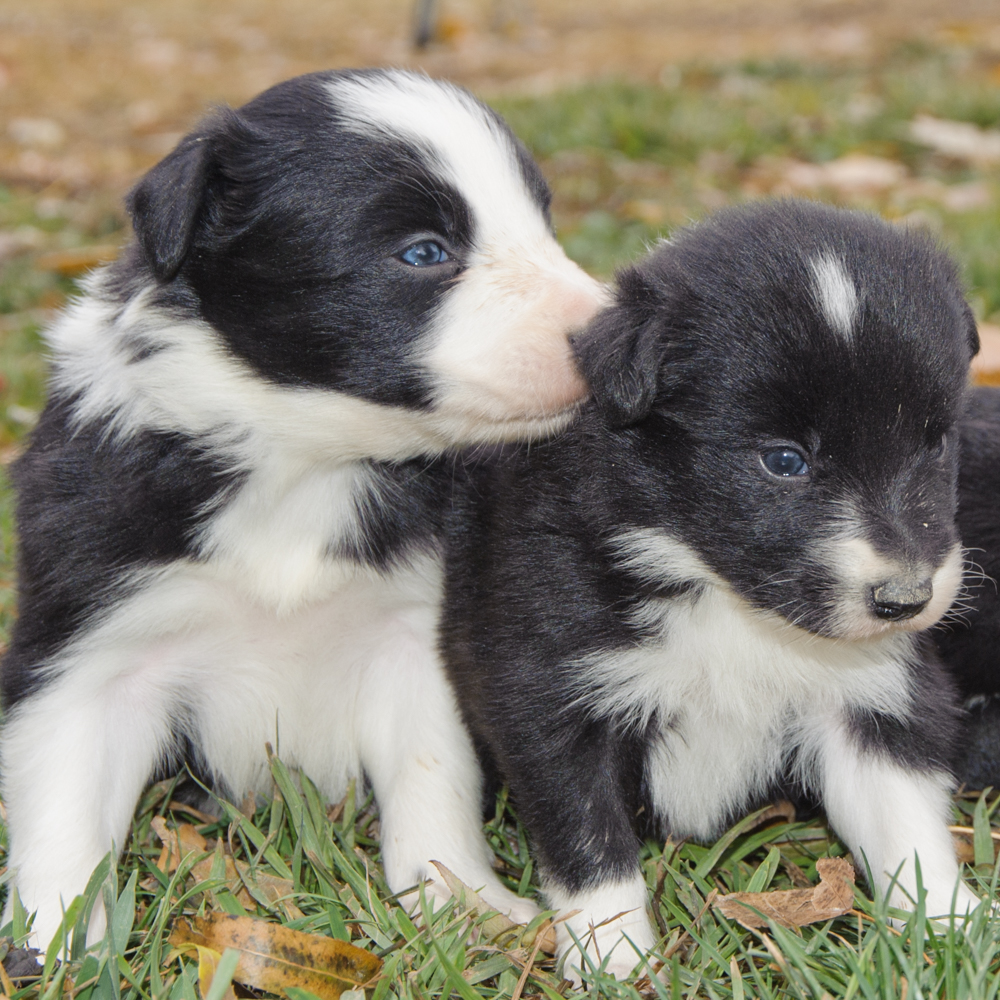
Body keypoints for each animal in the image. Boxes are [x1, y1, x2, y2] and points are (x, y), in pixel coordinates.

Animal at [1, 70, 608, 944]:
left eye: (543, 224)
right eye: (424, 252)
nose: (606, 334)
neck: (302, 460)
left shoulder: (414, 636)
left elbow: (433, 783)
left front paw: (461, 903)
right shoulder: (89, 641)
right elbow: (64, 812)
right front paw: (54, 941)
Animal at [442, 201, 980, 976]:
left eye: (933, 443)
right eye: (784, 460)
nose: (905, 600)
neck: (724, 599)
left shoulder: (870, 695)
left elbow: (904, 820)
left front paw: (953, 927)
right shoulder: (547, 688)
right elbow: (590, 841)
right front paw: (616, 961)